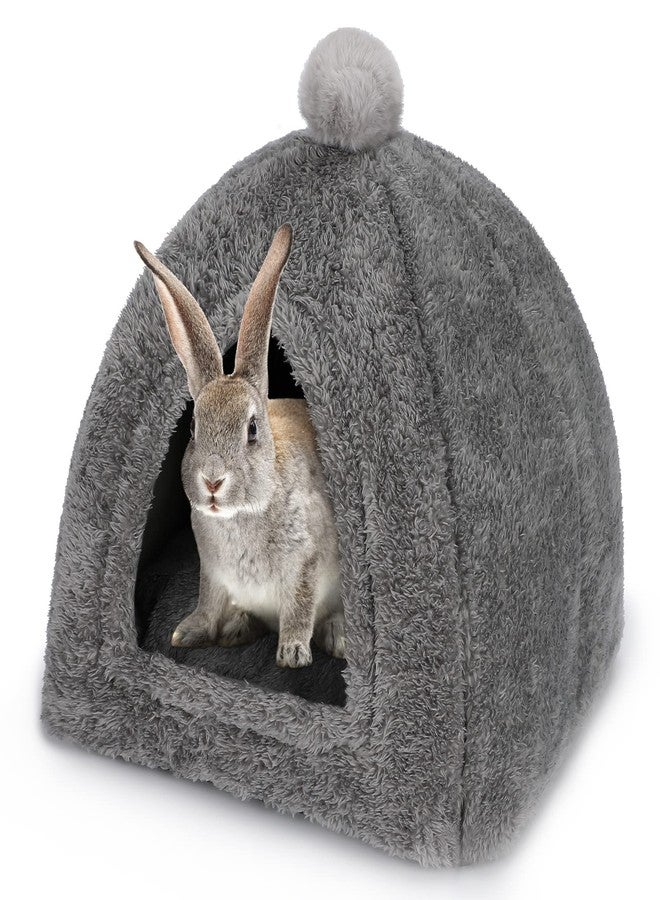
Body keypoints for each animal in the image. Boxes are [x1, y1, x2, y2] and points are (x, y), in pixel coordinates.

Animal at [134, 225, 344, 668]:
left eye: (251, 430)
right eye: (192, 427)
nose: (213, 482)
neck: (243, 513)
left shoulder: (307, 564)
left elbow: (299, 607)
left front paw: (293, 654)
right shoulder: (213, 573)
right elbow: (208, 603)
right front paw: (187, 633)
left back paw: (336, 638)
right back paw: (236, 629)